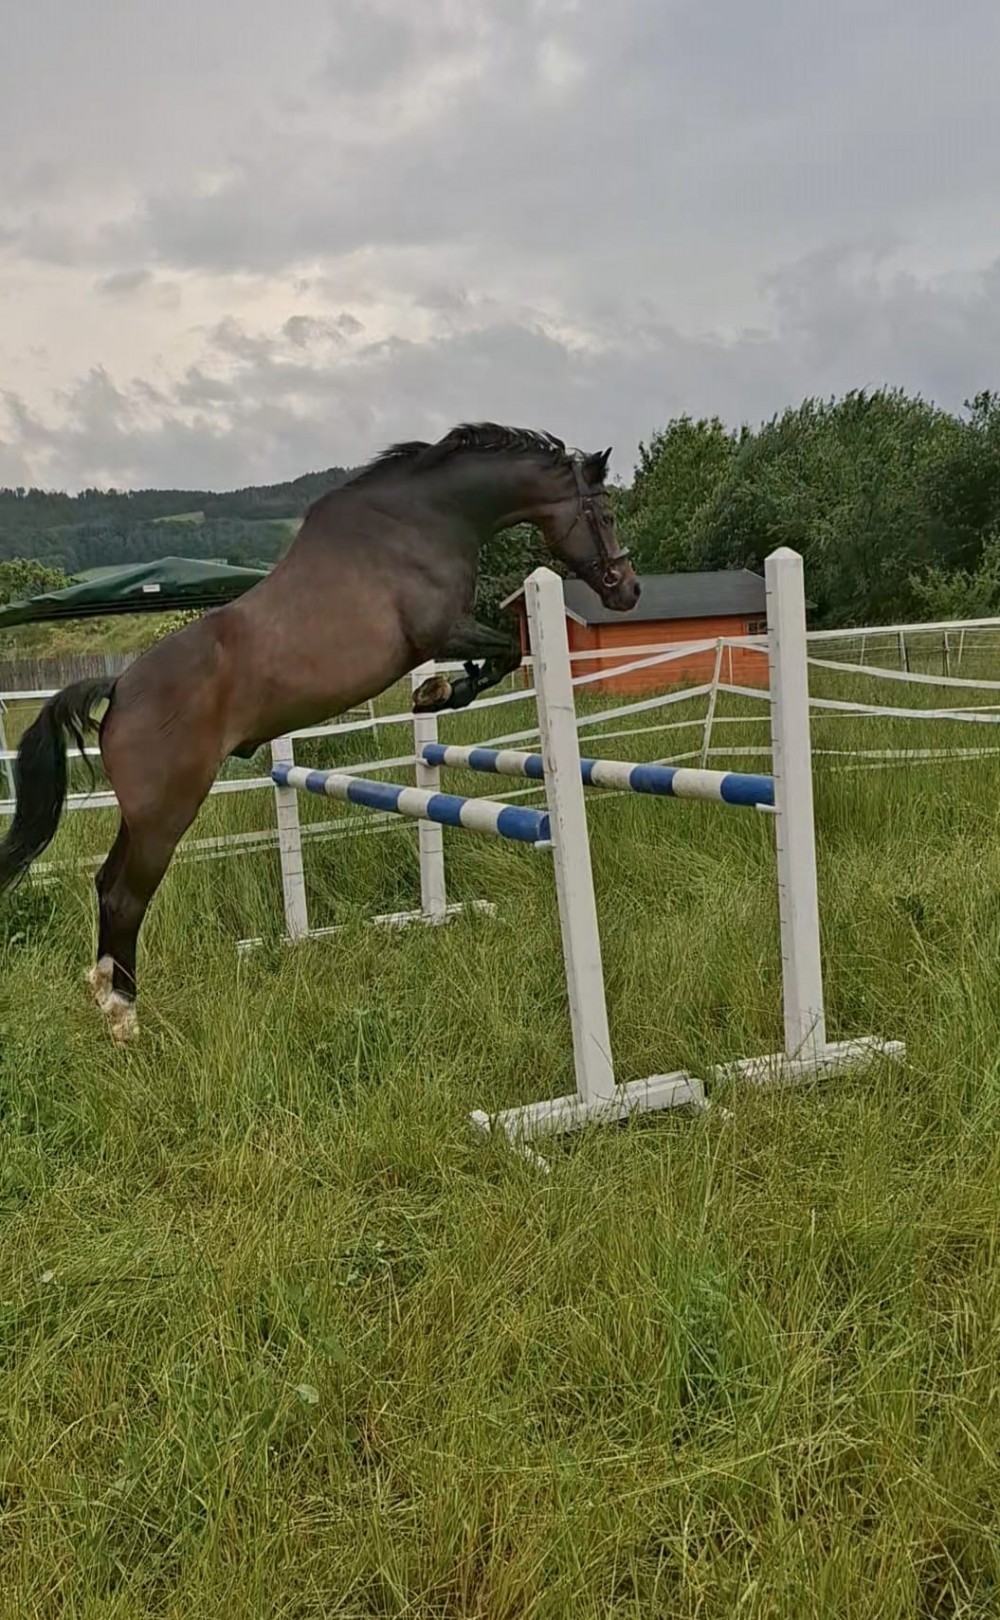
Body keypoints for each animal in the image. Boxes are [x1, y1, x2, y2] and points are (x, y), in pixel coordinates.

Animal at [0, 422, 639, 1042]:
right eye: (605, 514)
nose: (627, 590)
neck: (429, 518)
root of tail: (119, 689)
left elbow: (504, 650)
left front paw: (432, 693)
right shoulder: (442, 631)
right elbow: (507, 647)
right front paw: (437, 693)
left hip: (139, 818)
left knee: (106, 885)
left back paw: (105, 996)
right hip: (166, 814)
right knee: (126, 897)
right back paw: (125, 1019)